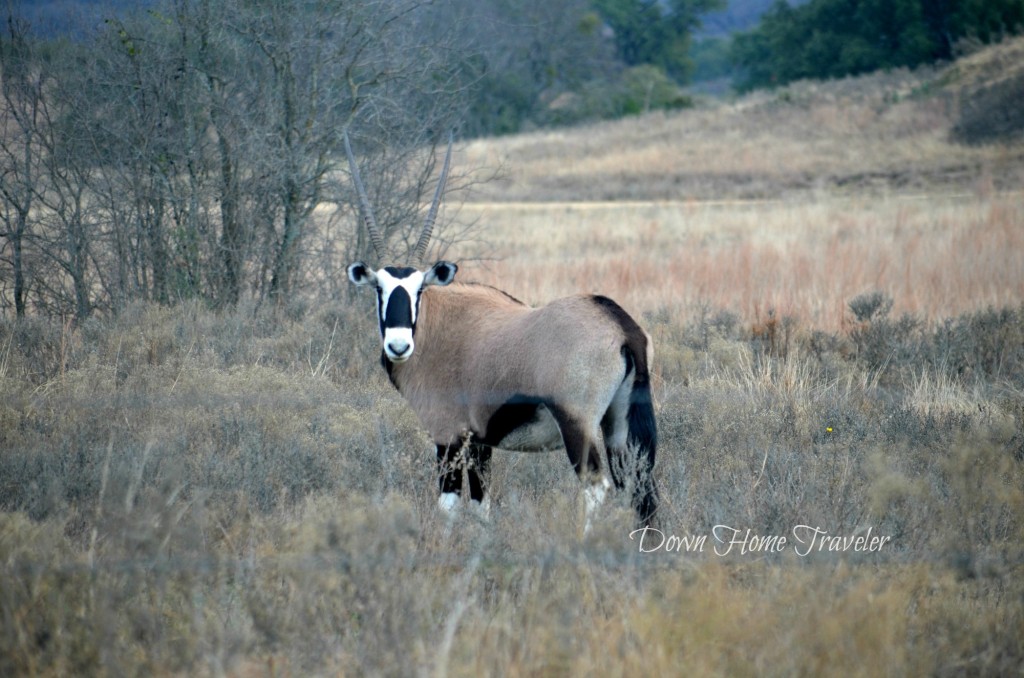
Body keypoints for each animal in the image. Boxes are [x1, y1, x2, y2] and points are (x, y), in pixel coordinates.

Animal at [348, 134, 659, 532]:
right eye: (379, 288)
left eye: (418, 289)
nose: (398, 345)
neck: (436, 328)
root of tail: (620, 324)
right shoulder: (481, 442)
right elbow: (480, 503)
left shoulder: (447, 436)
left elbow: (448, 505)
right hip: (620, 426)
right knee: (638, 486)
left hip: (578, 424)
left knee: (595, 485)